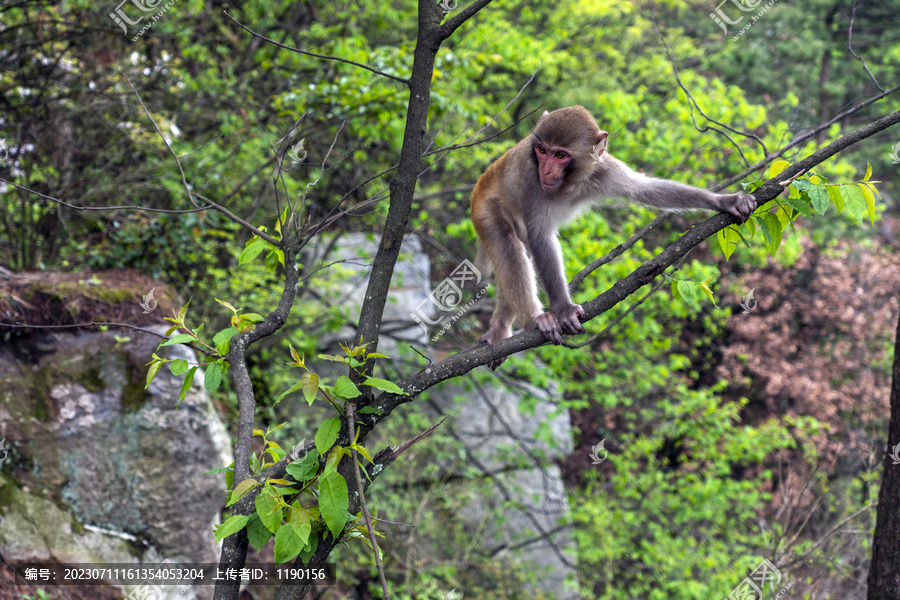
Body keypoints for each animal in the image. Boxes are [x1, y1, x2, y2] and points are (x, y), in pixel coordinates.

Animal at [474, 105, 756, 368]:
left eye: (560, 155)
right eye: (542, 151)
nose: (545, 170)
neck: (570, 182)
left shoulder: (605, 169)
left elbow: (643, 189)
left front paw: (724, 201)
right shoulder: (532, 181)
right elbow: (541, 236)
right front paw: (563, 310)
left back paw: (500, 327)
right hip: (485, 213)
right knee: (509, 245)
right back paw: (533, 320)